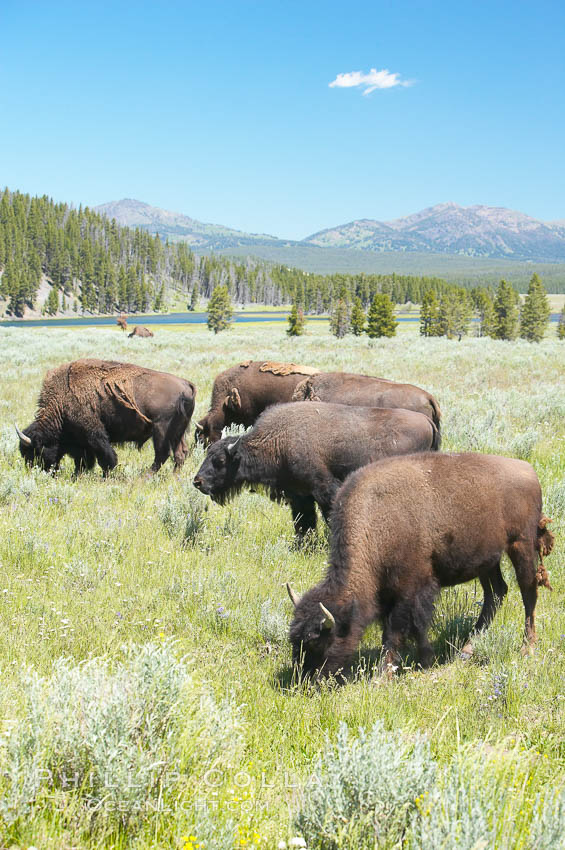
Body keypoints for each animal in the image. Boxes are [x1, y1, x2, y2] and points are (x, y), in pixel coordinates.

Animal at [16, 358, 196, 474]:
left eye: (35, 451)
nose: (36, 471)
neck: (61, 401)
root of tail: (185, 384)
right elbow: (84, 461)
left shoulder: (94, 434)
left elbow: (106, 456)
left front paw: (107, 474)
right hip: (178, 432)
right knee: (180, 454)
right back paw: (174, 476)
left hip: (161, 429)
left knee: (162, 454)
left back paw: (145, 476)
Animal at [194, 400, 440, 540]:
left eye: (220, 460)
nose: (197, 482)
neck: (278, 440)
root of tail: (427, 421)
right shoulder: (299, 495)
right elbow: (304, 522)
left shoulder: (323, 489)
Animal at [288, 454, 552, 680]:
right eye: (294, 640)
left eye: (318, 641)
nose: (306, 680)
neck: (375, 523)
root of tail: (529, 471)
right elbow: (415, 628)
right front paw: (425, 659)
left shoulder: (410, 589)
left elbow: (396, 631)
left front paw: (383, 676)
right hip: (488, 561)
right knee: (495, 594)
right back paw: (467, 650)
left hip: (521, 546)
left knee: (528, 594)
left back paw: (527, 647)